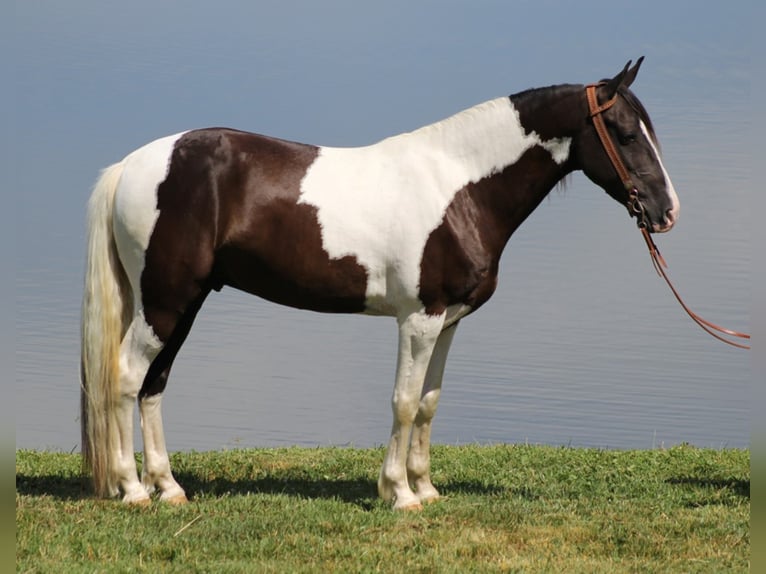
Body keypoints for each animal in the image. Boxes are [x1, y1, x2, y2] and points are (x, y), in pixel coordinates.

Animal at [79, 58, 680, 510]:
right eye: (626, 134)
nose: (667, 211)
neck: (459, 187)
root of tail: (132, 166)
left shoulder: (449, 322)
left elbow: (430, 403)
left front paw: (426, 489)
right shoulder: (419, 319)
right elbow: (404, 402)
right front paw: (399, 495)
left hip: (183, 302)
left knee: (153, 384)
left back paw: (168, 488)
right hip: (166, 301)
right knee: (127, 377)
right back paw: (133, 489)